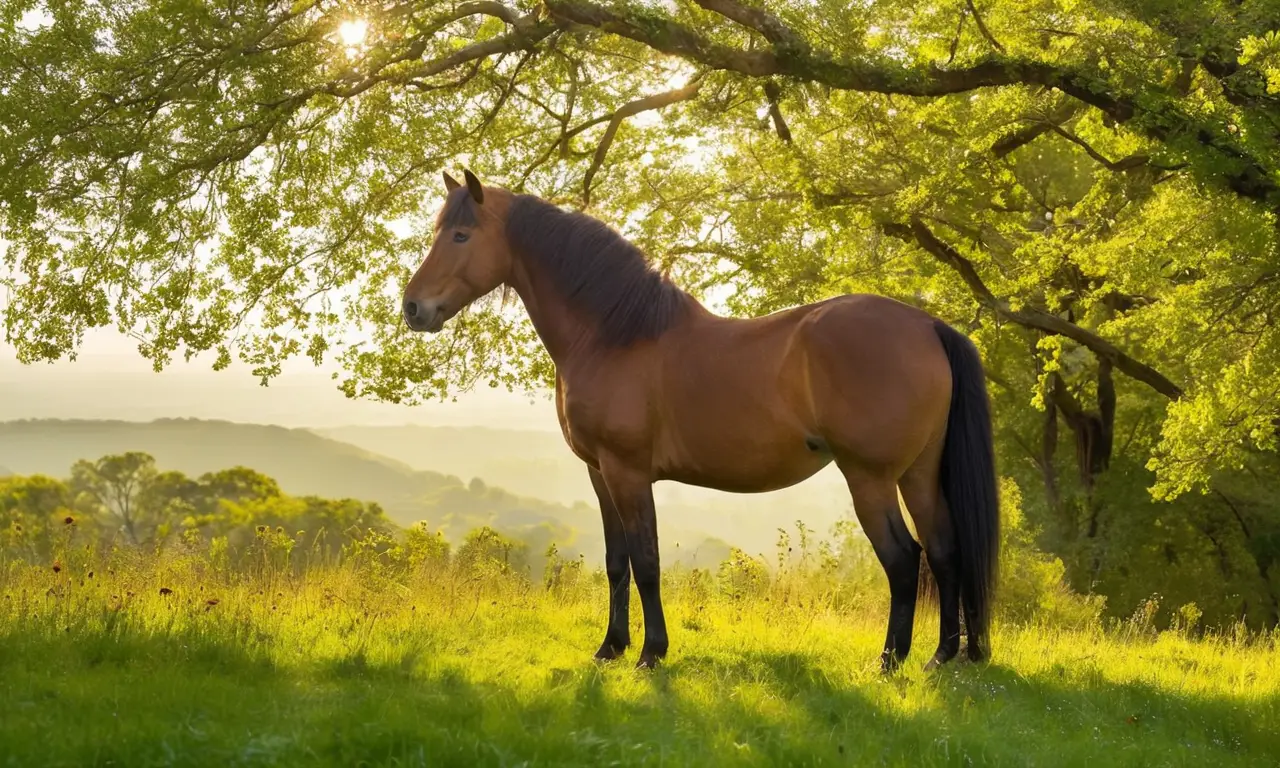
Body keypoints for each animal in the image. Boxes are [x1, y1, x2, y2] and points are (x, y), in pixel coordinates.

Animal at [402, 169, 1000, 672]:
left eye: (461, 236)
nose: (413, 308)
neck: (614, 333)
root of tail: (927, 326)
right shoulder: (599, 474)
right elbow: (617, 561)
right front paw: (610, 648)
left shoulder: (627, 471)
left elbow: (645, 560)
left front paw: (650, 654)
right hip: (919, 474)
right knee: (944, 550)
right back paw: (942, 657)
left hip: (870, 478)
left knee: (903, 559)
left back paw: (890, 660)